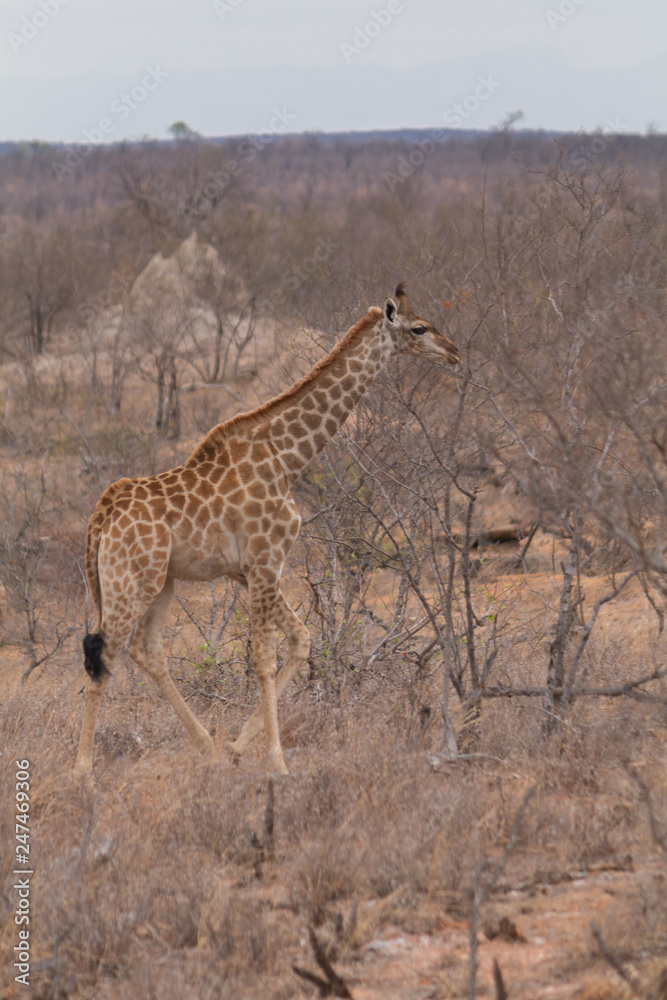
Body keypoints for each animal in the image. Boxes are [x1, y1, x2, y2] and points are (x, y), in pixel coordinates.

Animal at [75, 284, 461, 776]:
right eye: (419, 328)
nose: (454, 353)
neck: (287, 459)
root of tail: (100, 518)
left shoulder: (249, 568)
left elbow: (301, 639)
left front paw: (239, 746)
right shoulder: (265, 559)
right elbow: (263, 657)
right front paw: (276, 761)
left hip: (158, 581)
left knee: (146, 649)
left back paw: (207, 746)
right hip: (130, 581)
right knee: (104, 653)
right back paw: (82, 770)